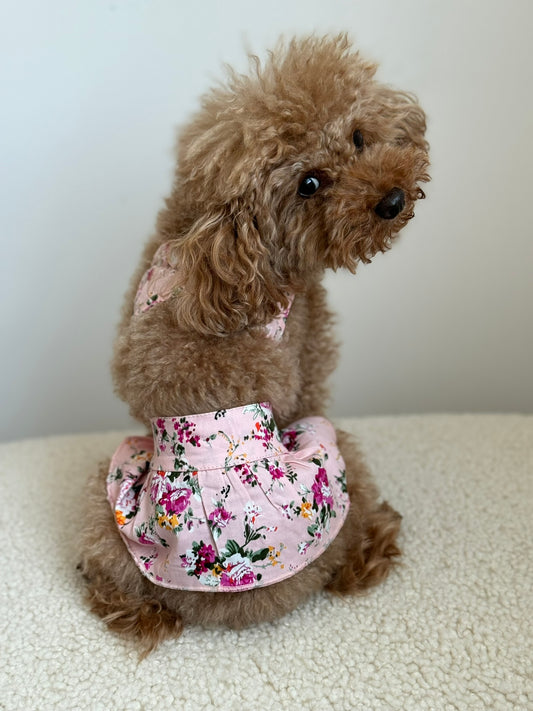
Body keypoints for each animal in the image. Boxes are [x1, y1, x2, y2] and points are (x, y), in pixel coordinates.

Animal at [79, 34, 428, 656]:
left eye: (359, 137)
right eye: (308, 184)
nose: (390, 200)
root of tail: (222, 601)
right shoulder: (307, 365)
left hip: (110, 492)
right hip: (326, 450)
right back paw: (374, 545)